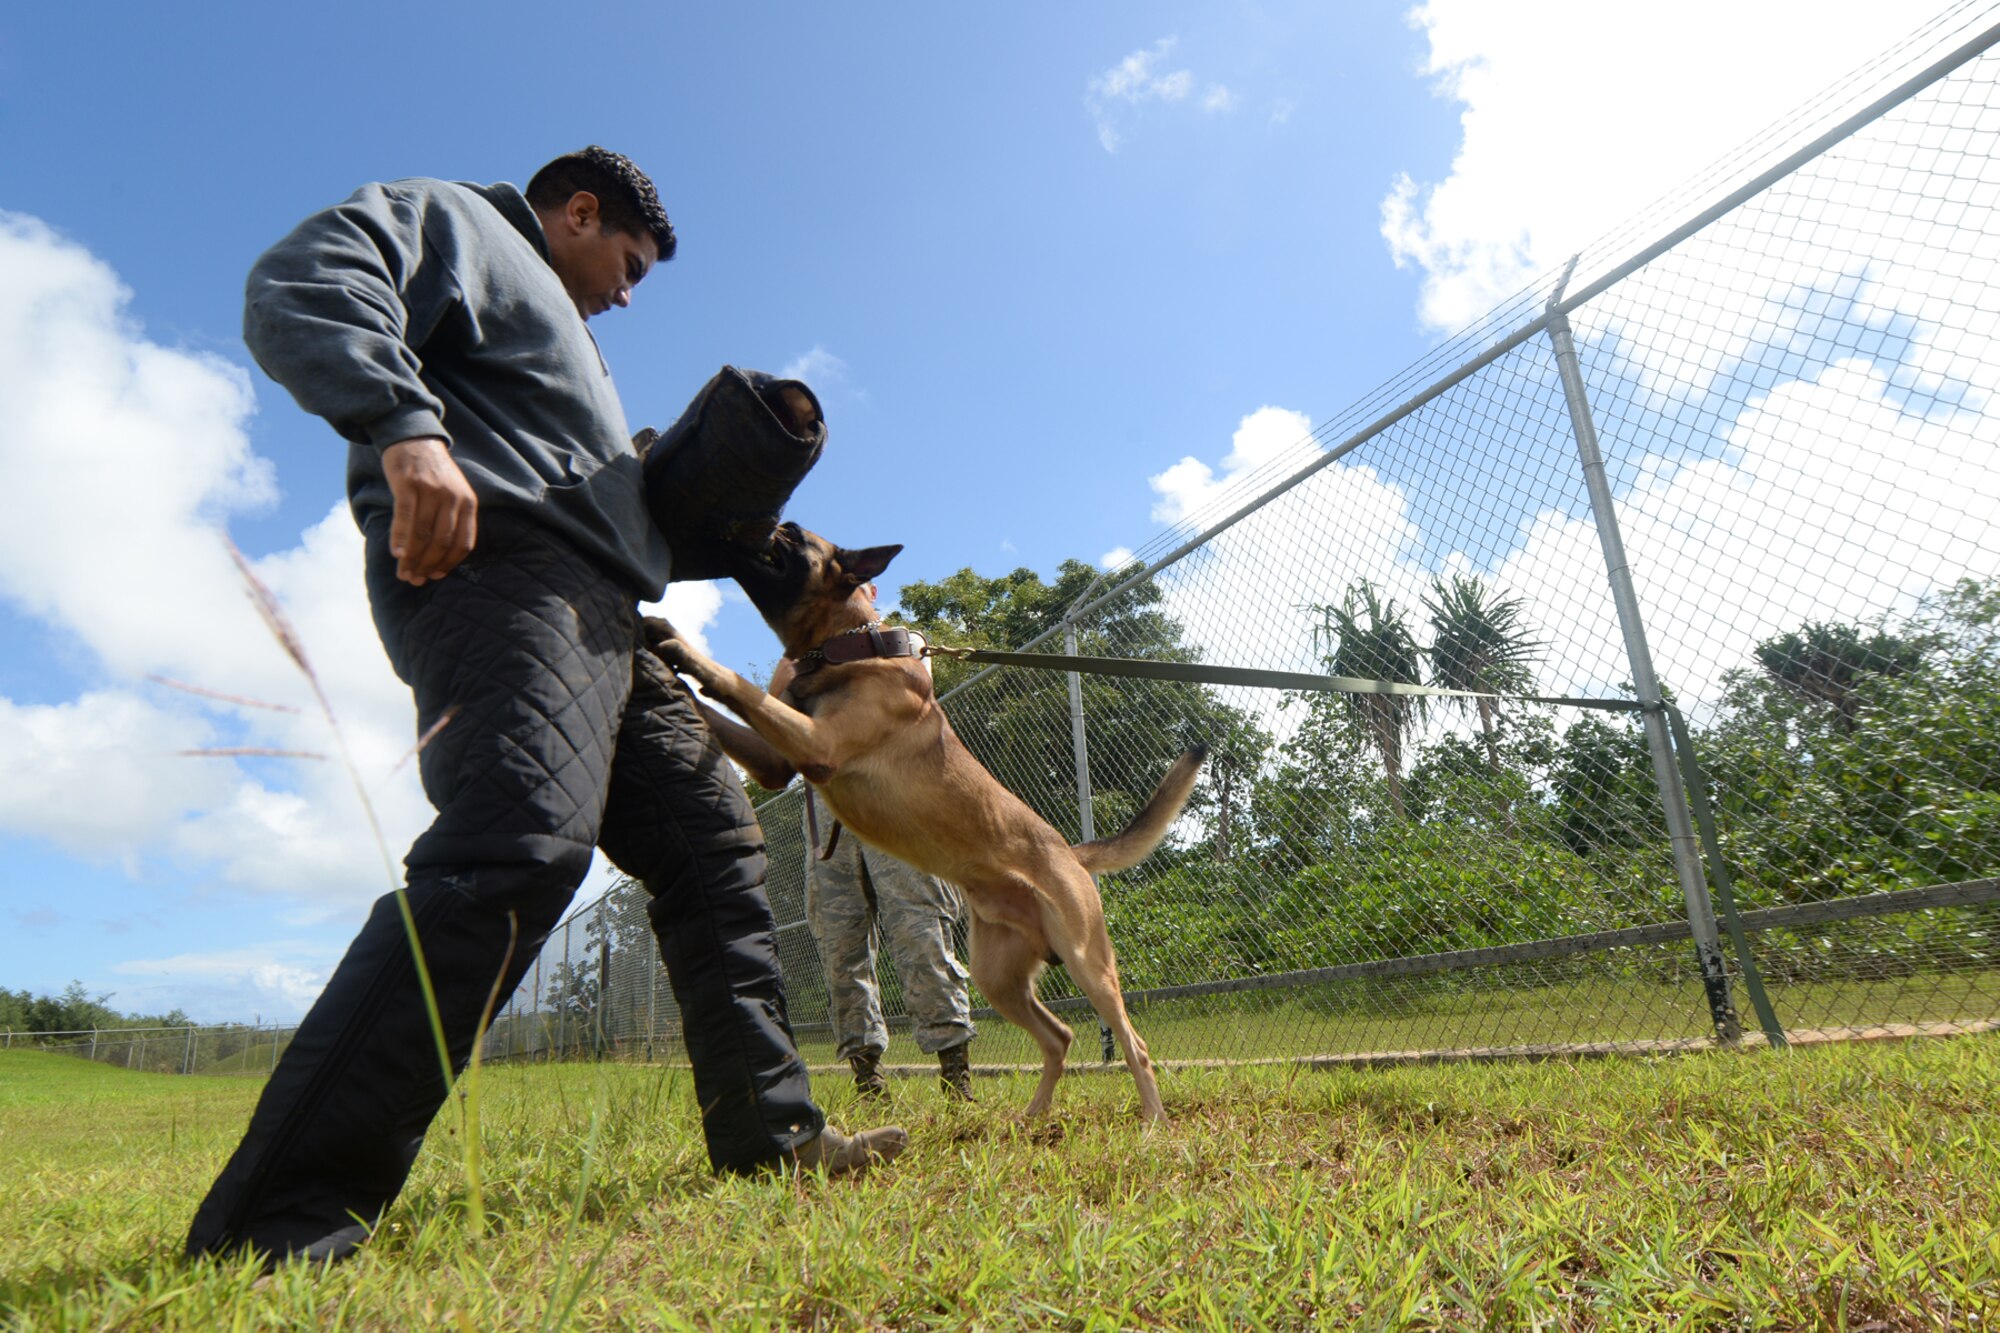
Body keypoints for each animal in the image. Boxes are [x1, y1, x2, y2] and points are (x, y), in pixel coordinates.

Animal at [648, 524, 1200, 1112]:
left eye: (792, 534)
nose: (763, 523)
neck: (844, 645)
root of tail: (1069, 852)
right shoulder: (778, 762)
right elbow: (718, 708)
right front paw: (652, 647)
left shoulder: (818, 744)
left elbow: (735, 683)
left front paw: (680, 645)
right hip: (997, 977)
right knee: (1060, 1036)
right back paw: (1032, 1118)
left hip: (1086, 962)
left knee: (1134, 1045)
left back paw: (1152, 1121)